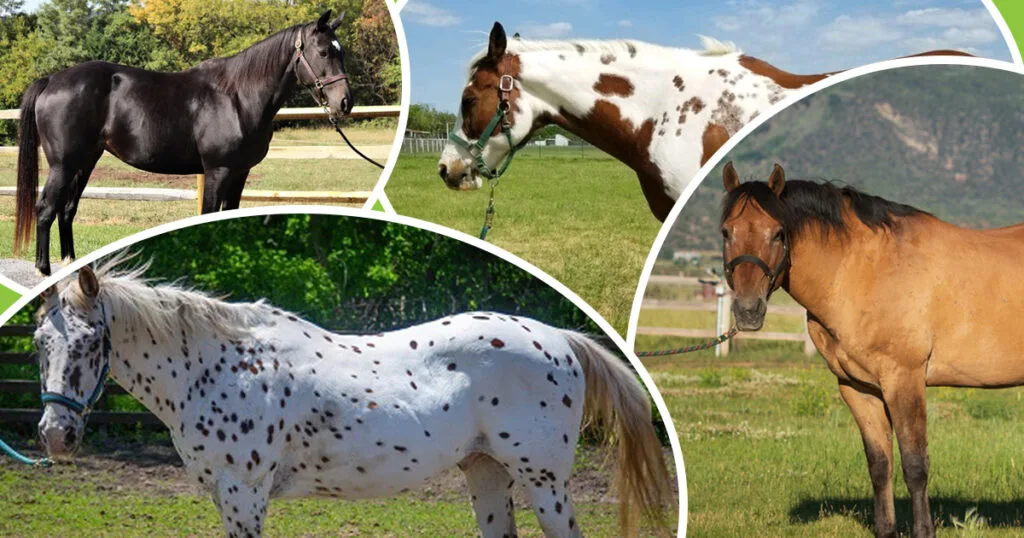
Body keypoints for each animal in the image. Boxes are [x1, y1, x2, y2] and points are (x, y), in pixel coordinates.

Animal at [15, 11, 354, 276]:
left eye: (341, 52)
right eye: (323, 52)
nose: (345, 102)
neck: (237, 97)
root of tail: (51, 80)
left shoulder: (240, 173)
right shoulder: (218, 171)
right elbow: (208, 215)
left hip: (85, 162)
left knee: (67, 209)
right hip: (63, 164)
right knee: (46, 208)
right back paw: (43, 269)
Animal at [33, 259, 673, 538]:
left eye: (91, 342)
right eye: (40, 342)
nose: (55, 437)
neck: (215, 368)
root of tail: (556, 339)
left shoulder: (245, 494)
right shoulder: (223, 494)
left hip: (545, 483)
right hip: (487, 474)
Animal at [718, 162, 1024, 538]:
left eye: (778, 233)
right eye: (726, 232)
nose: (748, 311)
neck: (863, 270)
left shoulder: (904, 380)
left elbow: (914, 465)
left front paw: (924, 530)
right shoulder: (858, 388)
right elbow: (880, 463)